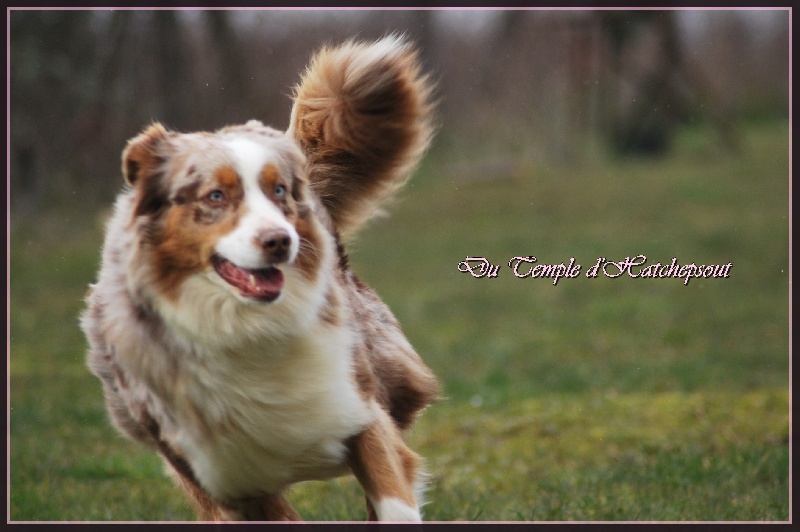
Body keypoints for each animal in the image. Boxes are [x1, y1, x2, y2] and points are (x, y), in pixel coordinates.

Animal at [80, 37, 440, 524]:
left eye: (278, 191)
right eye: (216, 196)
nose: (279, 241)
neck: (249, 329)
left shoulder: (354, 406)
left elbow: (392, 495)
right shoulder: (227, 478)